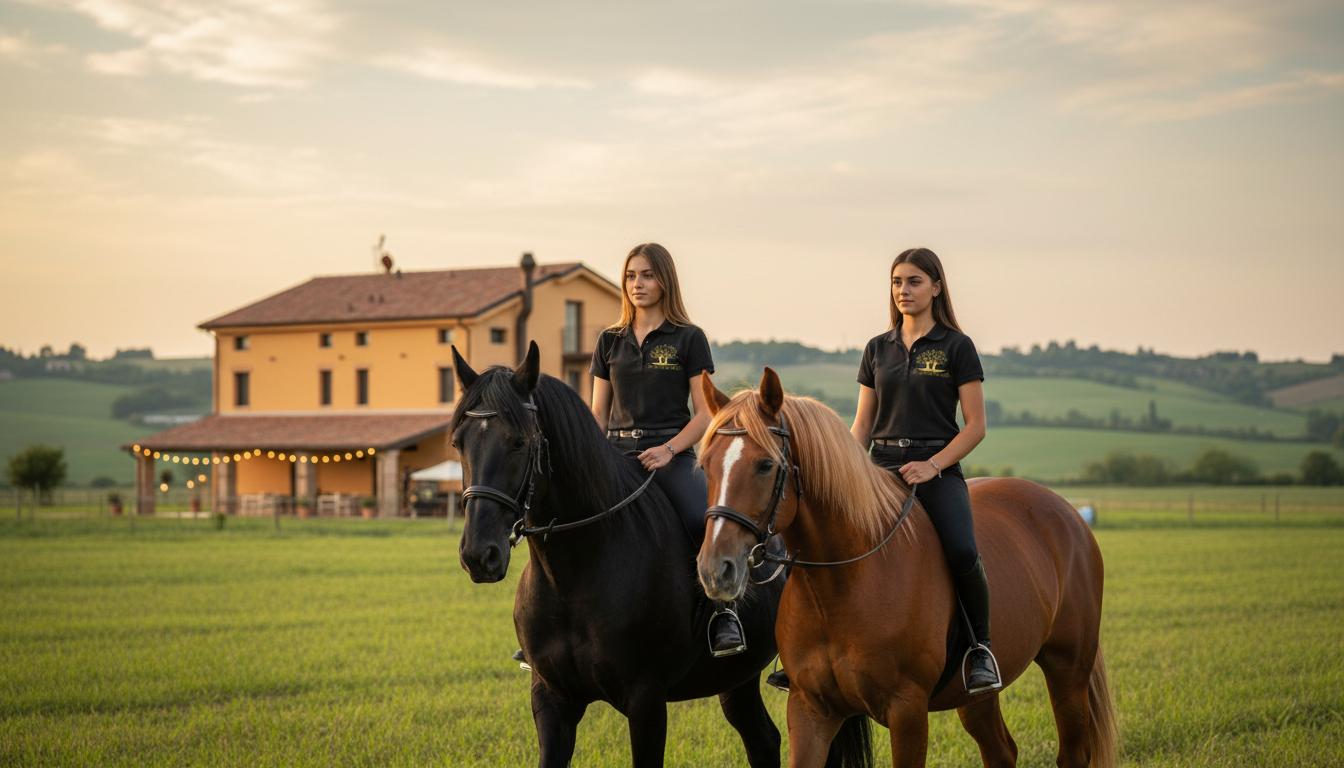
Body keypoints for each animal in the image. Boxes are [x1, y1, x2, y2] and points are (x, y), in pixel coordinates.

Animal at [451, 343, 787, 768]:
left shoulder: (646, 702)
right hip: (736, 679)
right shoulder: (551, 700)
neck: (574, 575)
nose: (479, 555)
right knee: (763, 740)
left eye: (518, 441)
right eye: (458, 443)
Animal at [694, 369, 1116, 768]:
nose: (716, 569)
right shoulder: (810, 709)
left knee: (1072, 753)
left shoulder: (907, 711)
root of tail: (1068, 514)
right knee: (1001, 751)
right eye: (706, 466)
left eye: (765, 465)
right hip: (976, 696)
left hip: (1068, 669)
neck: (842, 585)